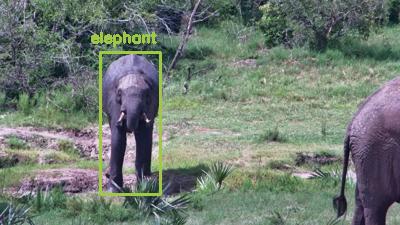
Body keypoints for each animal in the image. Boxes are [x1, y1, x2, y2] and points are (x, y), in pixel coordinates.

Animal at [102, 54, 159, 192]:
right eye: (119, 93)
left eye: (146, 94)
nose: (106, 174)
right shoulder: (113, 104)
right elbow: (118, 139)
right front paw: (113, 190)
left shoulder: (151, 103)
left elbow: (143, 138)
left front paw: (143, 187)